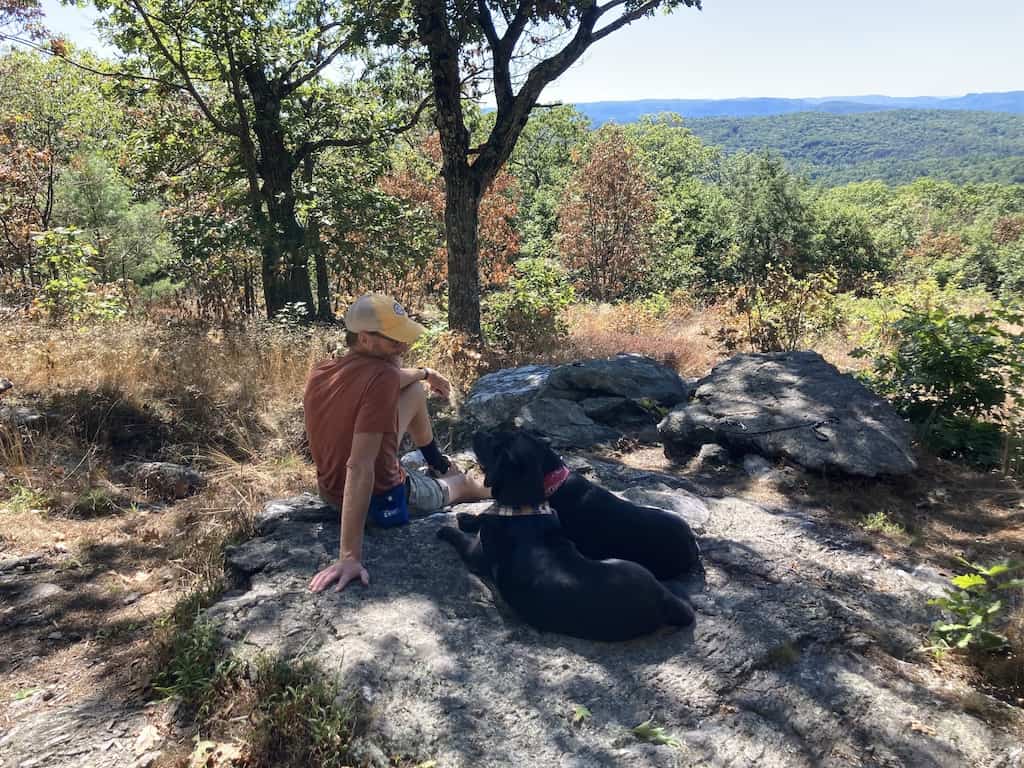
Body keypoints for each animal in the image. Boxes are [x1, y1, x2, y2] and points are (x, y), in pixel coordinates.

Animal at [436, 434, 692, 643]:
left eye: (494, 443)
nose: (476, 433)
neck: (525, 504)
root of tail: (663, 601)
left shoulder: (476, 552)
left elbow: (466, 533)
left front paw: (452, 525)